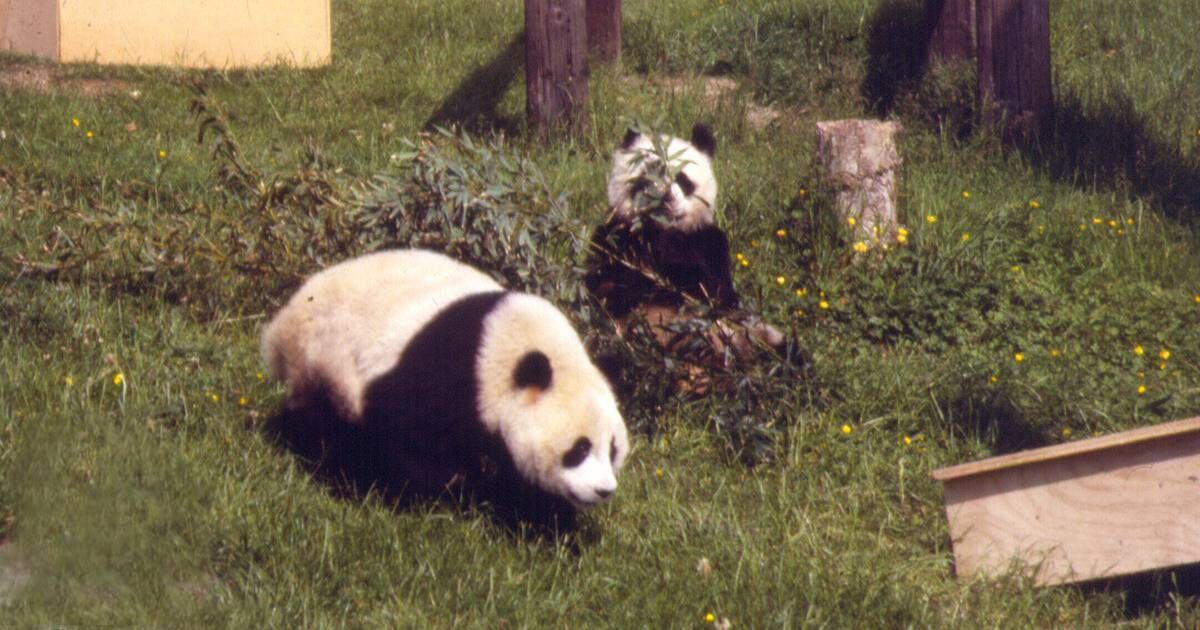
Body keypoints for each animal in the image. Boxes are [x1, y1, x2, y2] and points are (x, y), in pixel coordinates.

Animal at [261, 249, 629, 530]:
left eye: (612, 449)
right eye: (579, 449)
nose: (604, 490)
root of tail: (284, 321)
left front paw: (542, 518)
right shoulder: (444, 373)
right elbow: (406, 438)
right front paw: (442, 493)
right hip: (326, 357)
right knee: (325, 424)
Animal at [586, 122, 738, 319]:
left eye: (682, 179)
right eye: (647, 175)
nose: (664, 198)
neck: (657, 230)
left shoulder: (708, 242)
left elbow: (715, 293)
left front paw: (674, 247)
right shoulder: (612, 237)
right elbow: (603, 289)